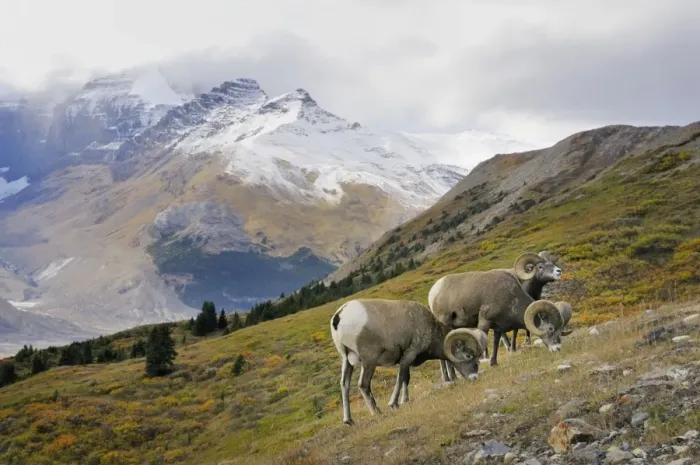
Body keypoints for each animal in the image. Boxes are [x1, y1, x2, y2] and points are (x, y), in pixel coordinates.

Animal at [330, 298, 487, 425]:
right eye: (468, 355)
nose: (475, 377)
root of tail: (339, 316)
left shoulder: (406, 360)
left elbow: (405, 378)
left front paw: (403, 400)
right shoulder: (408, 355)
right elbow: (402, 378)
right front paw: (394, 404)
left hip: (346, 361)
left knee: (344, 385)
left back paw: (349, 421)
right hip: (369, 362)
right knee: (363, 384)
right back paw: (377, 412)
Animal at [427, 256, 574, 382]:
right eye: (550, 328)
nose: (557, 348)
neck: (510, 296)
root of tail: (433, 291)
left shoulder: (498, 328)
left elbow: (496, 342)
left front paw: (494, 363)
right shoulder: (485, 322)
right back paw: (450, 378)